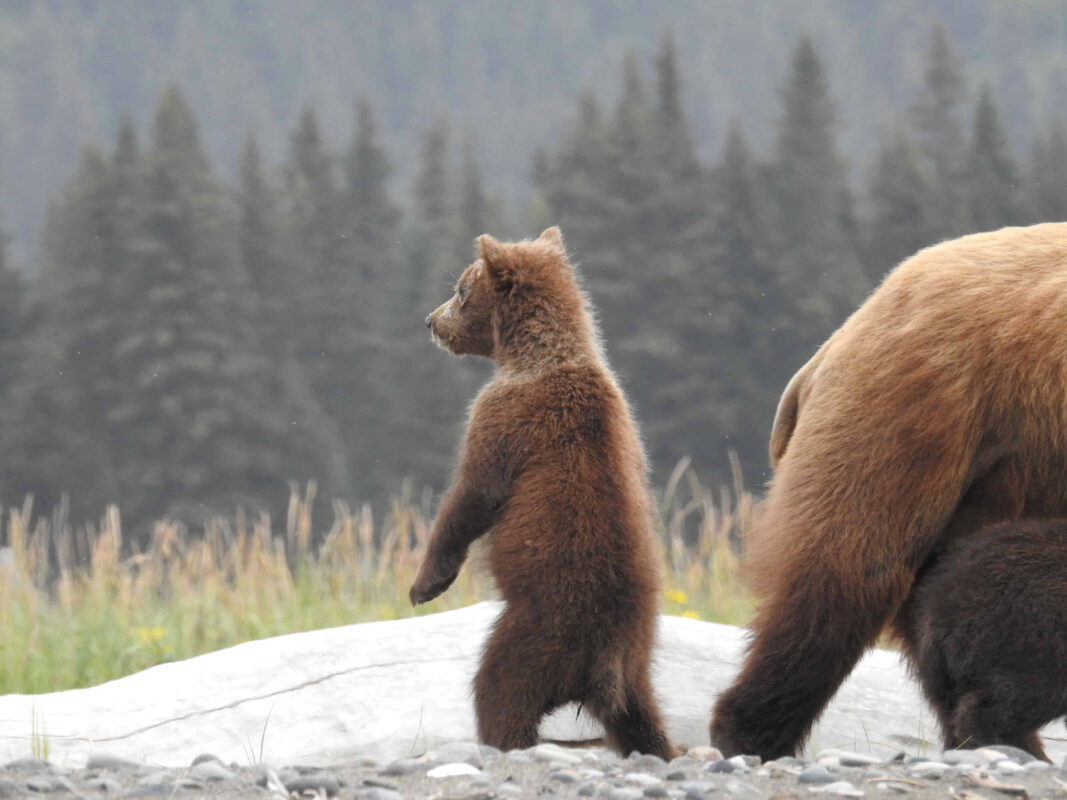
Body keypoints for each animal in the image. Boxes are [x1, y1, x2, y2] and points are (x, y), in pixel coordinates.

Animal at [409, 226, 673, 759]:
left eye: (461, 289)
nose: (430, 321)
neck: (535, 355)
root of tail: (606, 657)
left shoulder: (505, 420)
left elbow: (471, 495)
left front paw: (425, 583)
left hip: (538, 630)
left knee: (499, 689)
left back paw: (501, 737)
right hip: (640, 659)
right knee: (645, 720)